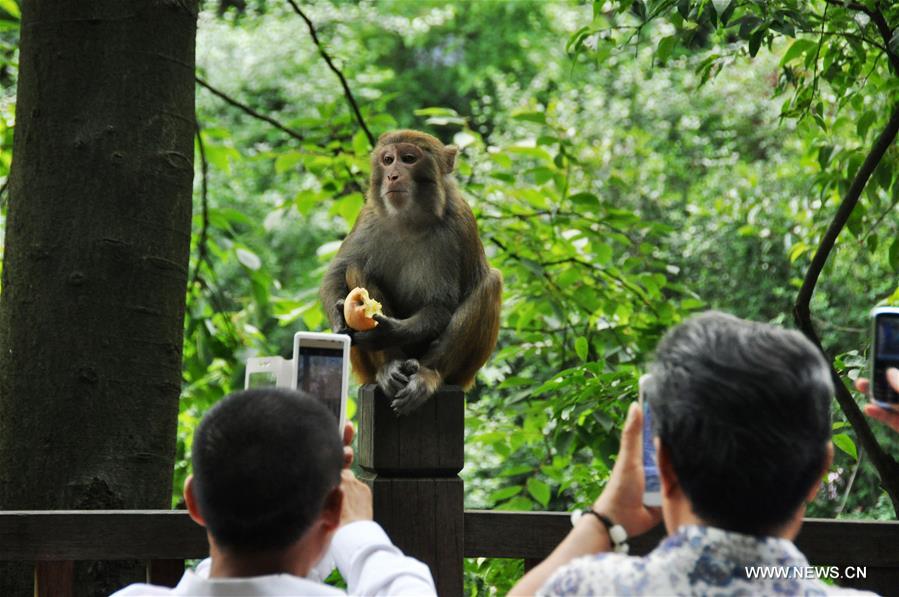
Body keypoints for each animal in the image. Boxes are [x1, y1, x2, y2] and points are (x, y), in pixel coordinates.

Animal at [320, 130, 502, 414]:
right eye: (387, 160)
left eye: (408, 159)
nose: (392, 175)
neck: (409, 220)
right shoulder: (368, 216)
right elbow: (337, 272)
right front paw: (340, 320)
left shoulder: (457, 223)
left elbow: (440, 304)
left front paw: (389, 332)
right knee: (356, 267)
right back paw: (389, 367)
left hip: (463, 374)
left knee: (491, 283)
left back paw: (428, 374)